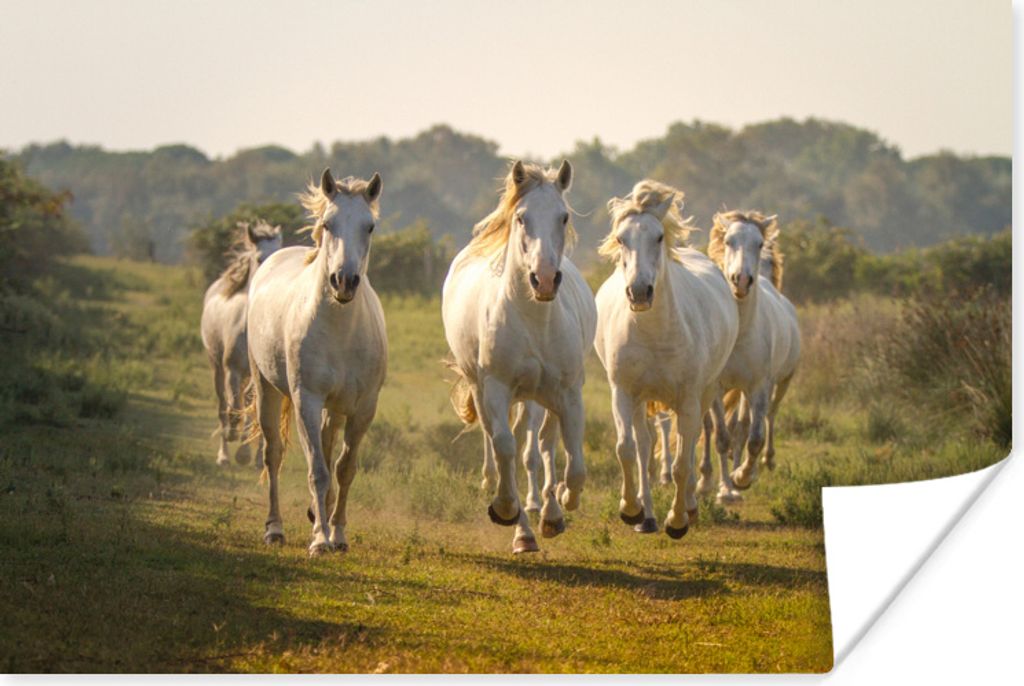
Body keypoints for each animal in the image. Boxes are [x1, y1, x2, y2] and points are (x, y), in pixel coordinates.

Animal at [200, 220, 282, 467]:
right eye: (259, 258)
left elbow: (254, 412)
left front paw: (250, 456)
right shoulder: (232, 370)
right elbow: (234, 405)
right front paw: (233, 435)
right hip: (216, 367)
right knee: (222, 404)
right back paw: (224, 455)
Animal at [246, 169, 387, 556]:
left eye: (369, 226)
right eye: (328, 223)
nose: (344, 281)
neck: (341, 329)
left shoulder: (363, 407)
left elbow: (344, 468)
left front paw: (337, 534)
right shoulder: (306, 400)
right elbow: (318, 470)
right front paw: (321, 540)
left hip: (335, 407)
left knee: (326, 444)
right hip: (266, 388)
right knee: (273, 454)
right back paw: (274, 529)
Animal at [443, 159, 597, 554]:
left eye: (563, 216)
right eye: (521, 218)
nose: (544, 279)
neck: (533, 319)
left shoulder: (568, 393)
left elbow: (572, 463)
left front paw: (562, 505)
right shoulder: (496, 389)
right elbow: (504, 448)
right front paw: (506, 510)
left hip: (540, 396)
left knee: (542, 444)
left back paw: (549, 512)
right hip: (485, 389)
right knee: (501, 443)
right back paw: (523, 528)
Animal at [594, 180, 738, 538]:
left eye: (659, 237)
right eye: (621, 238)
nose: (639, 292)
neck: (654, 334)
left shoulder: (688, 399)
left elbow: (681, 463)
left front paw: (677, 521)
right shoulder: (623, 393)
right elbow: (627, 450)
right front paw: (630, 510)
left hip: (705, 393)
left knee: (693, 441)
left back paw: (689, 507)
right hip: (641, 401)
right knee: (644, 448)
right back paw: (646, 518)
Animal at [699, 211, 800, 496]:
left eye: (759, 243)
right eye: (729, 241)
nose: (741, 280)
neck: (740, 333)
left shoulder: (759, 386)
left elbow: (753, 437)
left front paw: (741, 477)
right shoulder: (717, 387)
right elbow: (721, 436)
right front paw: (724, 490)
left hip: (781, 383)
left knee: (765, 418)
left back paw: (763, 463)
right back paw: (707, 480)